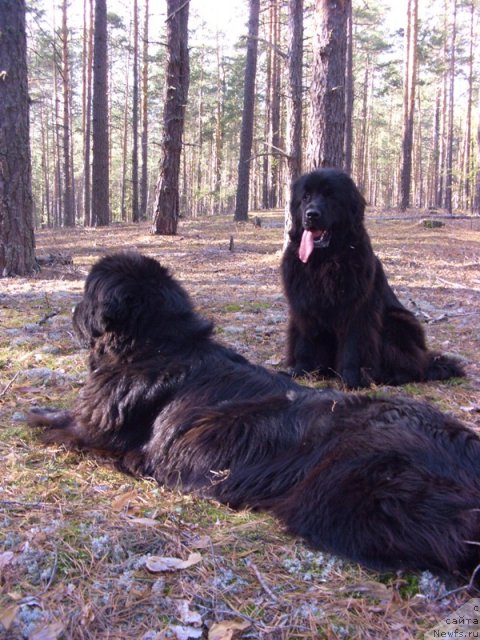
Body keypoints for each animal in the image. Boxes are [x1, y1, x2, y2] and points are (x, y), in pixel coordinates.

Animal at [29, 254, 480, 580]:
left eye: (86, 294)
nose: (73, 310)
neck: (157, 347)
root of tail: (463, 444)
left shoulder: (98, 431)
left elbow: (63, 427)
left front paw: (33, 417)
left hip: (347, 491)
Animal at [282, 170, 464, 388]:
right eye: (306, 197)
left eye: (330, 196)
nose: (311, 214)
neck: (324, 261)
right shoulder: (304, 307)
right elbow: (305, 342)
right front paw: (301, 371)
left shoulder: (358, 310)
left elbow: (353, 346)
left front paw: (351, 380)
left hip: (398, 321)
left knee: (413, 365)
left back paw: (389, 376)